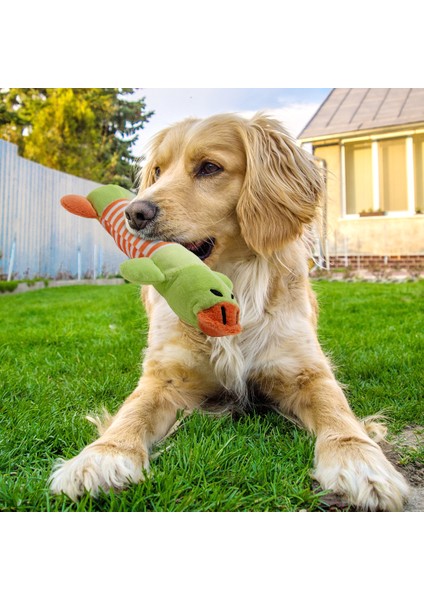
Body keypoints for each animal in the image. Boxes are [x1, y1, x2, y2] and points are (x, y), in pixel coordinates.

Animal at [49, 112, 410, 510]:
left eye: (210, 167)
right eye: (158, 171)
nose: (134, 212)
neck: (230, 286)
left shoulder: (305, 371)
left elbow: (337, 412)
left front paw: (359, 461)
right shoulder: (166, 377)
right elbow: (132, 411)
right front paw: (103, 456)